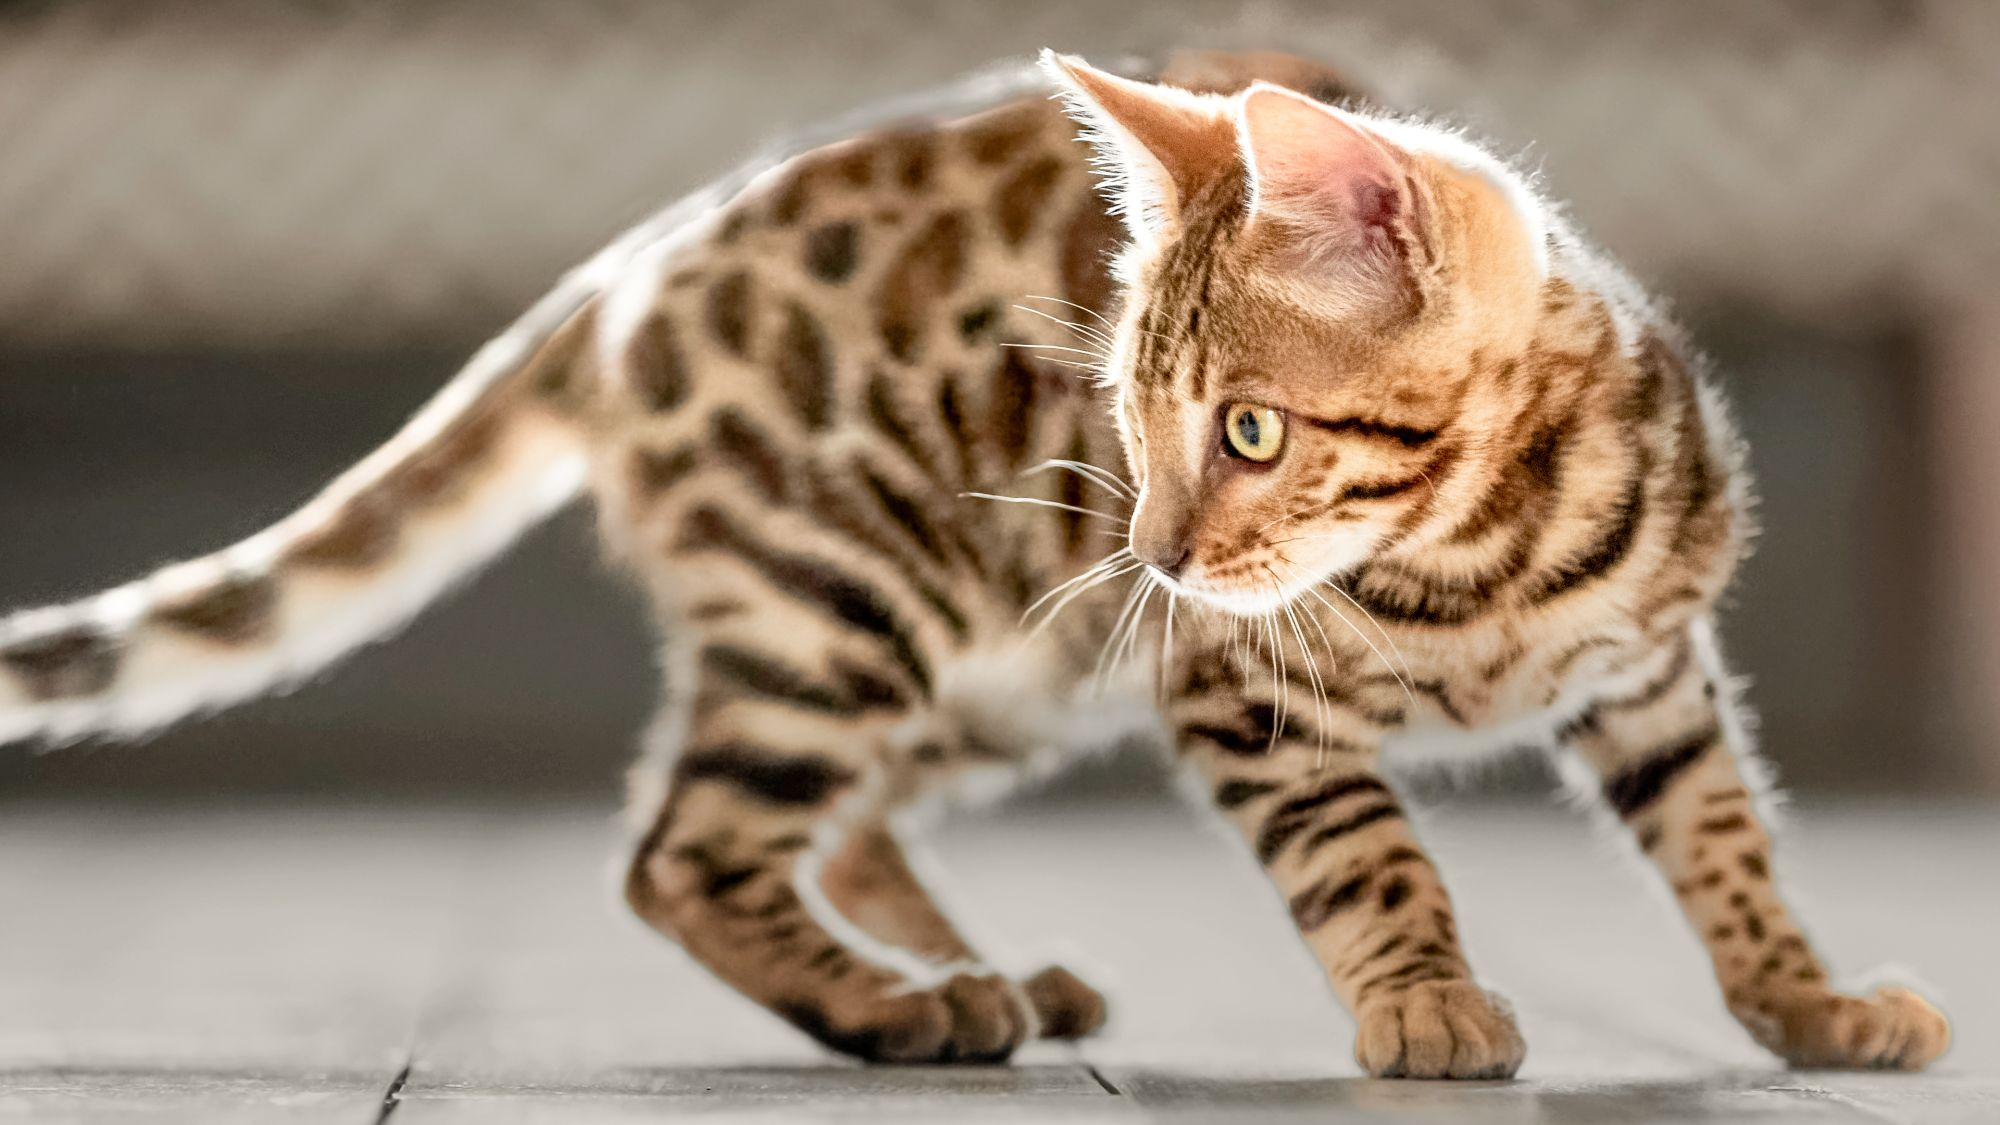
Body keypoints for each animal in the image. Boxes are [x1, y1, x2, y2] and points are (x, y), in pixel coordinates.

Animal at [0, 48, 1944, 1072]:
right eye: (1134, 418)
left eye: (1250, 431)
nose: (1157, 550)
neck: (1480, 559)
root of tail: (625, 273)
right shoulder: (1236, 696)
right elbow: (1368, 855)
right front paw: (1428, 1001)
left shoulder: (1658, 673)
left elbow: (1729, 845)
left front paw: (1808, 1003)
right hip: (854, 603)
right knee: (682, 848)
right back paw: (898, 1011)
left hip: (999, 666)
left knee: (832, 826)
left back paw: (981, 978)